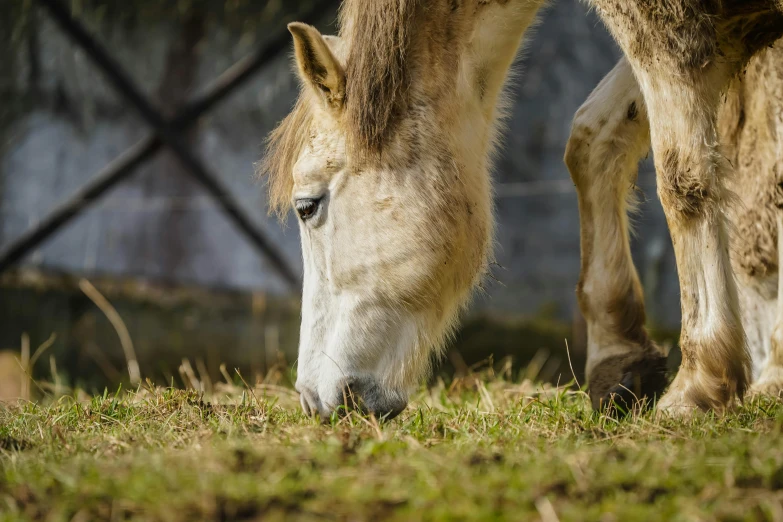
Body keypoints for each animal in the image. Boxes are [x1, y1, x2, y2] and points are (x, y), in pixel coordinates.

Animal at [260, 0, 783, 416]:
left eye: (307, 206)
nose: (311, 399)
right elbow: (593, 139)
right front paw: (618, 354)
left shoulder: (672, 31)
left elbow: (686, 177)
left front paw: (699, 385)